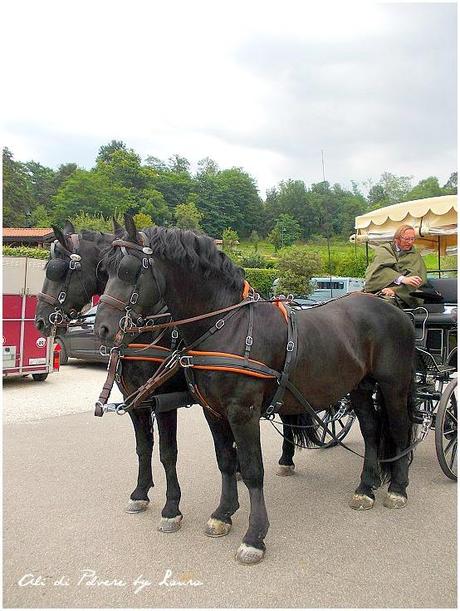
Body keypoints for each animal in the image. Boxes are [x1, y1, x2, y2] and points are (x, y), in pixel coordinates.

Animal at [33, 222, 187, 532]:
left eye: (59, 270)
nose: (40, 320)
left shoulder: (166, 400)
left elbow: (167, 452)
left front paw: (171, 507)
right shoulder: (134, 398)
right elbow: (143, 446)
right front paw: (140, 493)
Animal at [96, 218, 416, 568]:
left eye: (128, 270)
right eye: (103, 270)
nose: (102, 328)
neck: (227, 324)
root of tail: (396, 311)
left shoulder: (242, 411)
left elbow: (251, 470)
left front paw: (254, 536)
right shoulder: (212, 411)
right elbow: (225, 460)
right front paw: (223, 514)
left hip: (394, 386)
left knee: (400, 430)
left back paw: (398, 488)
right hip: (358, 388)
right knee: (371, 431)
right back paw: (366, 488)